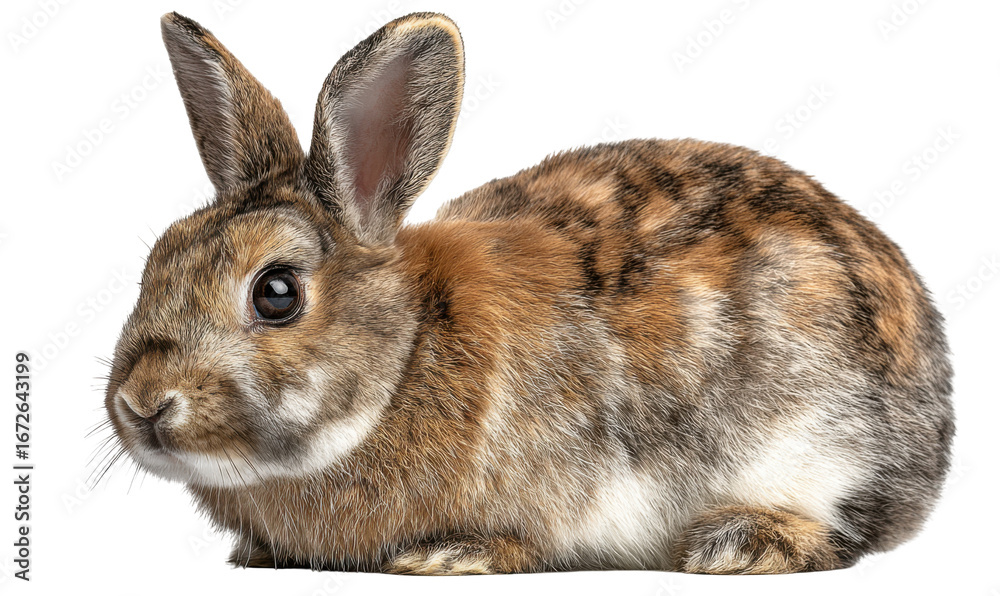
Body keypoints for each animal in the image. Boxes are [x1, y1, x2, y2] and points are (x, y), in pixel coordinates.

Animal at [101, 11, 954, 575]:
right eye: (157, 262)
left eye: (276, 293)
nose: (142, 403)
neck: (408, 354)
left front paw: (448, 556)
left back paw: (740, 544)